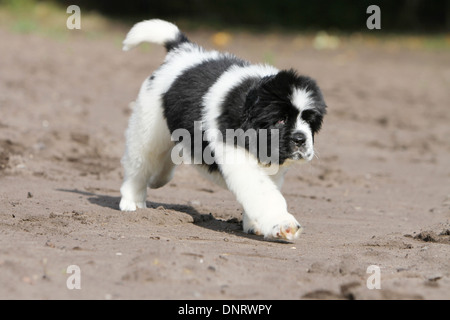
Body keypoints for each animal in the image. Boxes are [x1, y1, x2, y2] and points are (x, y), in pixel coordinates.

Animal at [118, 20, 326, 240]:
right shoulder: (238, 157)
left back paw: (159, 179)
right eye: (280, 120)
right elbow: (264, 193)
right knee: (140, 163)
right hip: (147, 127)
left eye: (309, 121)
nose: (300, 139)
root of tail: (182, 51)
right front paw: (283, 224)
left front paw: (255, 224)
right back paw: (132, 200)